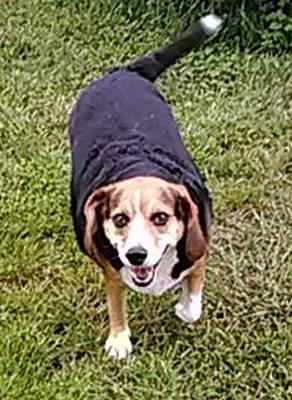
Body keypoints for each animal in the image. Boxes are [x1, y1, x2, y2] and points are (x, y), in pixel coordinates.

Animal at [68, 14, 222, 360]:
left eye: (161, 218)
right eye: (120, 219)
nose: (136, 255)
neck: (139, 166)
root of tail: (123, 72)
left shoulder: (199, 249)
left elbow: (192, 307)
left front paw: (182, 308)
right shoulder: (111, 265)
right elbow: (115, 299)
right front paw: (119, 339)